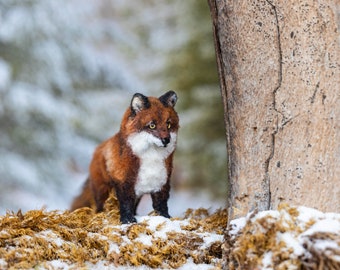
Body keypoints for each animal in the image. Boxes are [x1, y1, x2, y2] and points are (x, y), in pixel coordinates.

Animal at [70, 90, 179, 224]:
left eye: (168, 124)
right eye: (152, 125)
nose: (166, 140)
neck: (151, 160)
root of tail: (98, 148)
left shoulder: (162, 184)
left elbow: (161, 206)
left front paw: (166, 218)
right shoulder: (124, 184)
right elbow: (126, 205)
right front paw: (128, 221)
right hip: (103, 192)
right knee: (100, 207)